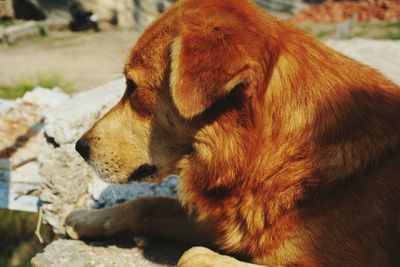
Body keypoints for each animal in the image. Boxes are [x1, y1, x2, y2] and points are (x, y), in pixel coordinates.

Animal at [65, 0, 400, 266]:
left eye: (132, 88)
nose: (80, 147)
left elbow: (191, 254)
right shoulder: (233, 222)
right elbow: (149, 203)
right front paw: (88, 219)